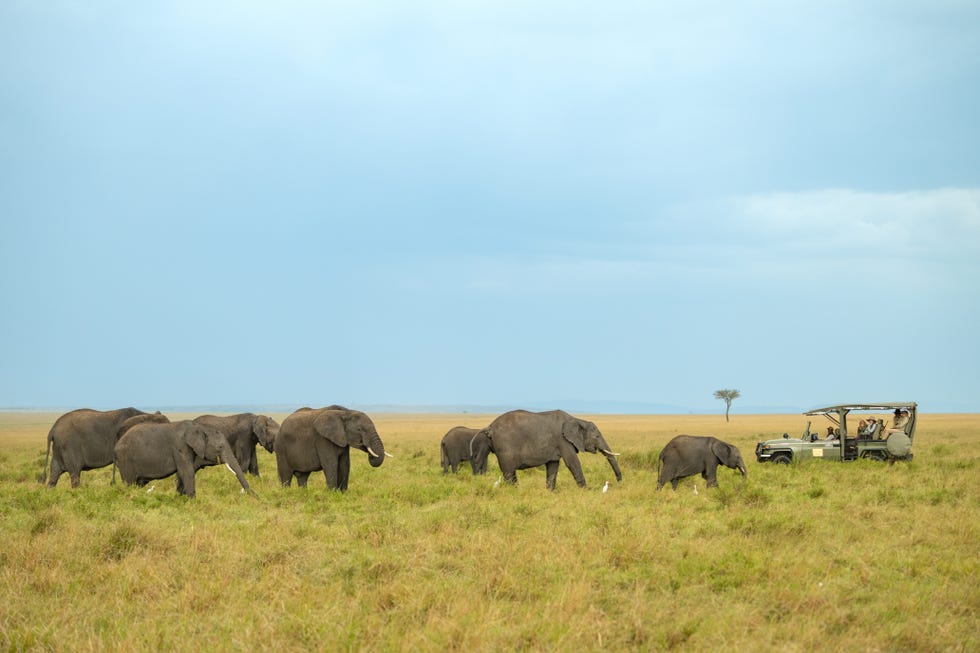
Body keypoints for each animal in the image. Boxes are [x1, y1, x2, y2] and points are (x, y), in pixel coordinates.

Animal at [114, 420, 251, 498]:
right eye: (220, 447)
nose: (253, 497)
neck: (201, 427)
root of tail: (116, 446)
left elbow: (183, 473)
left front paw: (181, 499)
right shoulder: (180, 447)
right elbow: (187, 472)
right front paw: (192, 502)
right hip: (125, 460)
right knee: (129, 483)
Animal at [481, 409, 622, 490]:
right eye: (597, 436)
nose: (619, 482)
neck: (577, 420)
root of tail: (490, 428)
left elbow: (553, 465)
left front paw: (550, 492)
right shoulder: (563, 440)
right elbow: (572, 462)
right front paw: (586, 491)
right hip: (505, 447)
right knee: (509, 472)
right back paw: (514, 492)